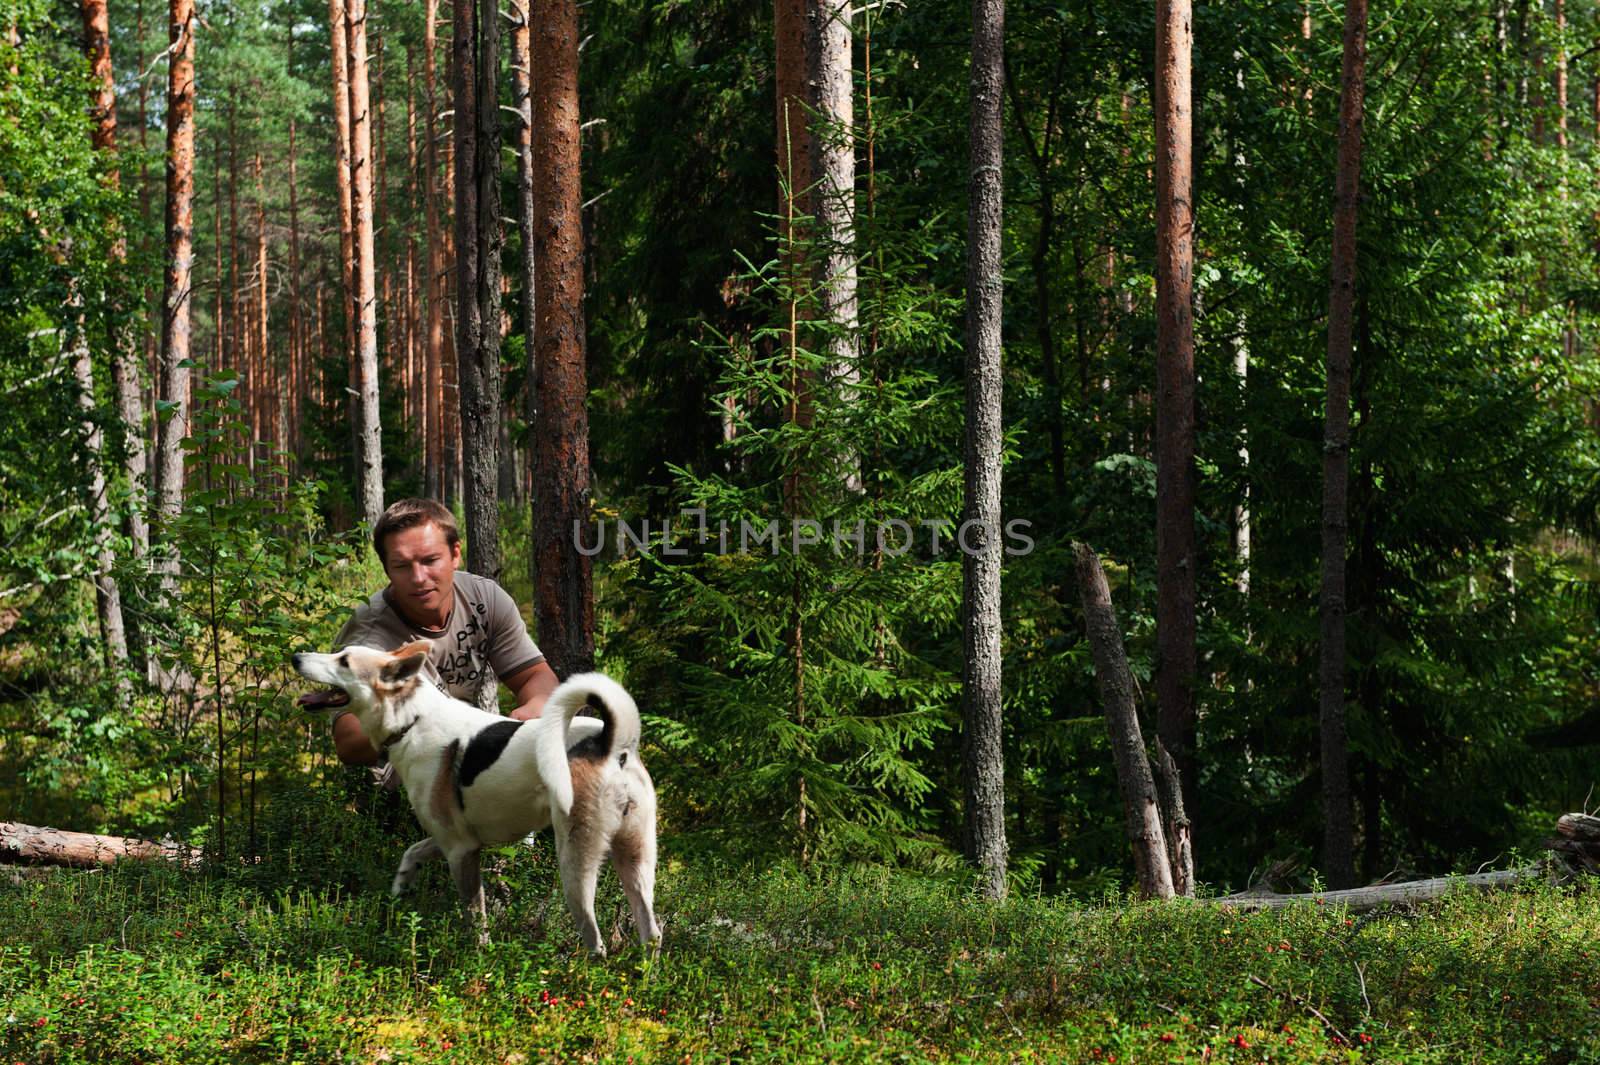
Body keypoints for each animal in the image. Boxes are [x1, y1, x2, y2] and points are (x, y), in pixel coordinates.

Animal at [291, 639, 659, 953]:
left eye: (344, 660)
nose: (295, 657)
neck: (413, 719)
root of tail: (610, 744)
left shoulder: (460, 850)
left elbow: (474, 915)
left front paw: (478, 957)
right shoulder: (452, 837)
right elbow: (412, 852)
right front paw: (401, 886)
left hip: (575, 861)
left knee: (595, 939)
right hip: (635, 859)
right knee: (652, 932)